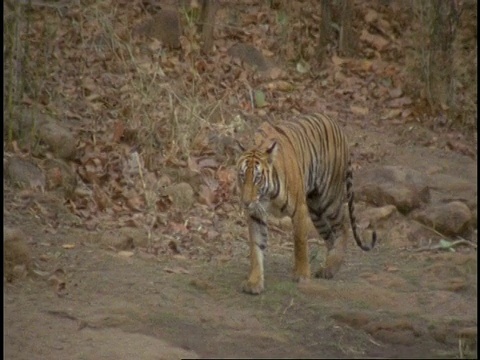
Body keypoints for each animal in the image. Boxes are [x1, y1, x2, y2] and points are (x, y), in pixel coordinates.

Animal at [235, 113, 376, 296]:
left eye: (257, 178)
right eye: (242, 176)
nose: (246, 202)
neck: (266, 195)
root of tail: (337, 126)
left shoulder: (299, 209)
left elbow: (300, 242)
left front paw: (301, 275)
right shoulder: (256, 214)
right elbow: (256, 247)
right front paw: (254, 282)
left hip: (328, 199)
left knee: (343, 226)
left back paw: (330, 268)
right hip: (316, 210)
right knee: (330, 236)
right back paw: (328, 266)